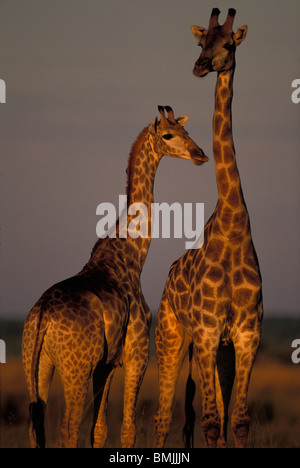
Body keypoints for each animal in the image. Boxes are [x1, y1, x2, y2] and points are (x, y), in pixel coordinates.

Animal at [22, 107, 207, 450]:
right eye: (168, 136)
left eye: (186, 132)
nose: (200, 154)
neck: (132, 255)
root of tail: (42, 317)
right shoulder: (136, 354)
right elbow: (127, 429)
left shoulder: (106, 365)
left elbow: (99, 430)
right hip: (75, 368)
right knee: (68, 428)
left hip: (38, 362)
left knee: (35, 426)